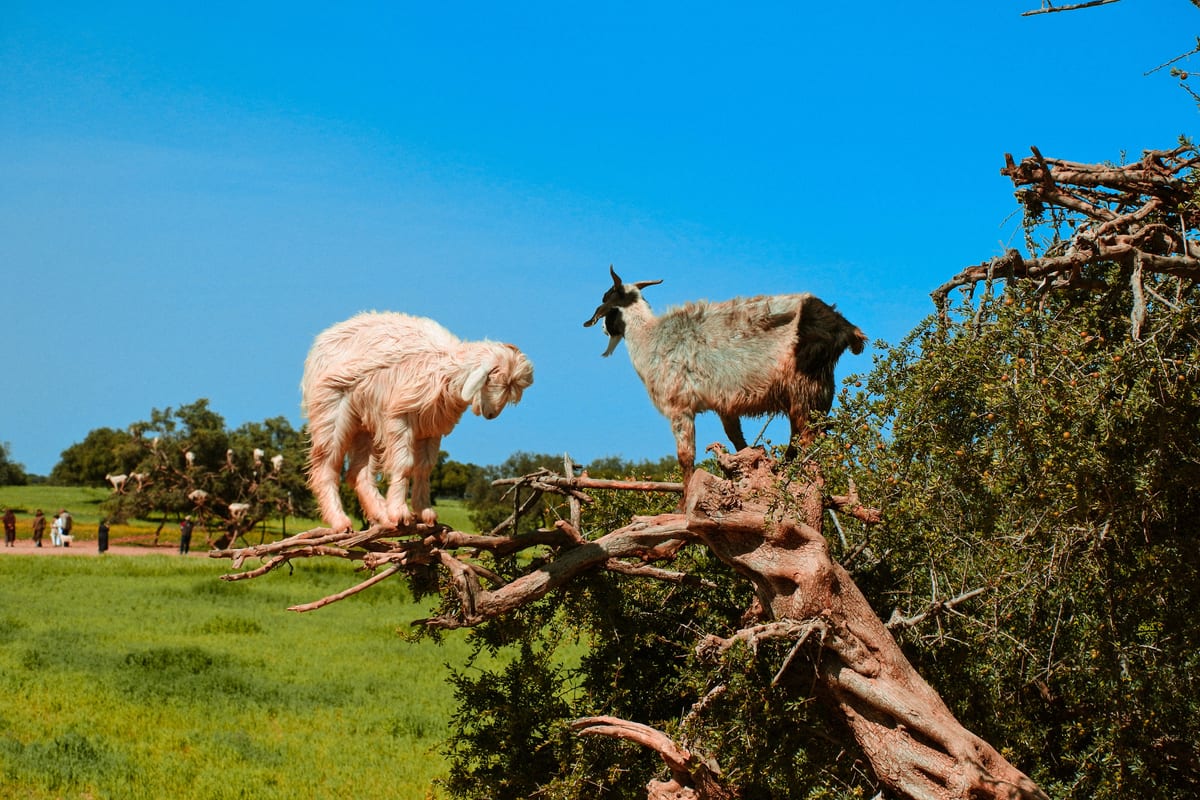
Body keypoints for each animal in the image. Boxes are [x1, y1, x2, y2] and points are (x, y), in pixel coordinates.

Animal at [301, 311, 533, 532]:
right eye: (492, 379)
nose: (492, 414)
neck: (445, 368)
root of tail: (323, 338)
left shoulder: (431, 428)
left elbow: (424, 468)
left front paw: (424, 512)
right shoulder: (400, 417)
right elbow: (405, 464)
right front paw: (400, 512)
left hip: (366, 423)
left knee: (360, 472)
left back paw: (382, 515)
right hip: (330, 410)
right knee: (326, 466)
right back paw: (341, 521)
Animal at [584, 266, 867, 493]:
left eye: (606, 300)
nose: (601, 327)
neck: (649, 337)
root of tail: (846, 328)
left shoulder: (679, 407)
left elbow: (686, 457)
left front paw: (683, 505)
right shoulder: (725, 405)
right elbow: (737, 440)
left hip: (805, 388)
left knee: (805, 439)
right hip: (819, 390)